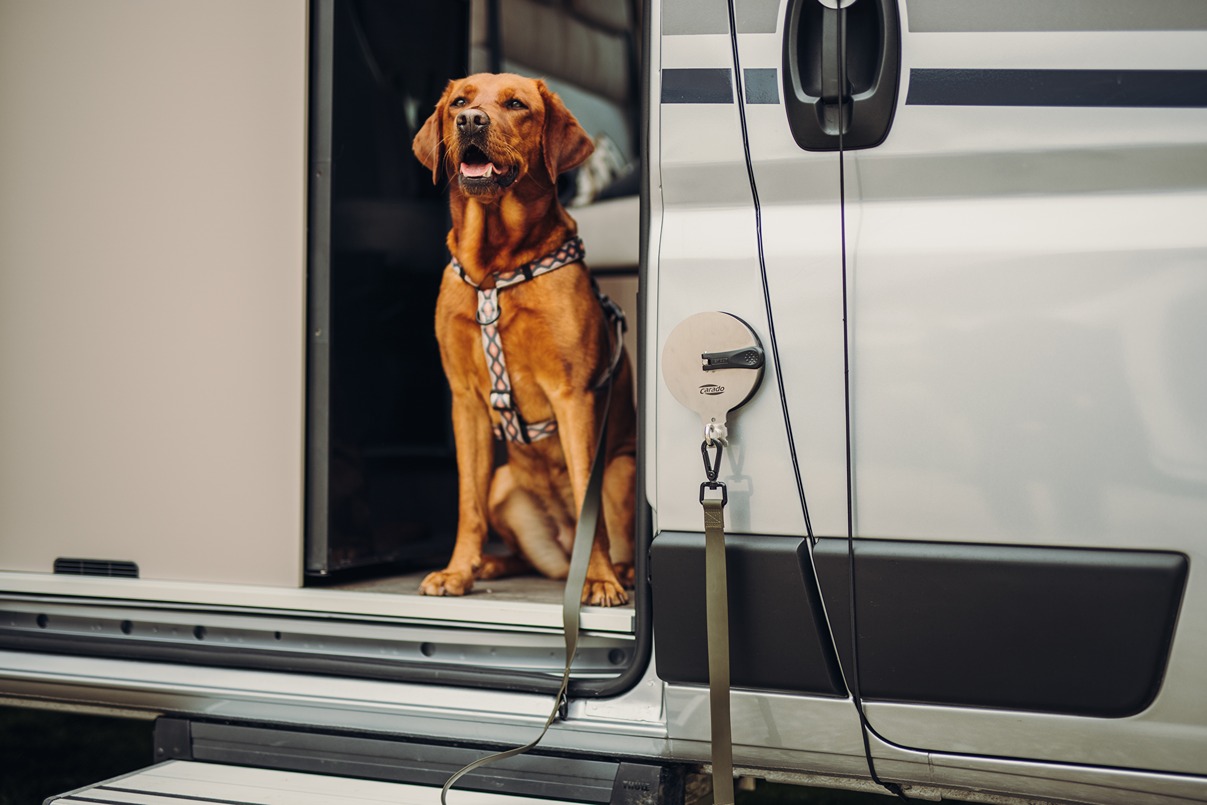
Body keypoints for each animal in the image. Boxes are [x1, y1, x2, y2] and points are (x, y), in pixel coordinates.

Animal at [412, 73, 642, 603]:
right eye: (459, 101)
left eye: (516, 105)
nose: (470, 120)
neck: (496, 268)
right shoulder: (465, 401)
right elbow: (467, 503)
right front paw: (458, 571)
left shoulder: (573, 397)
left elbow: (590, 508)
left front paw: (599, 578)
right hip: (504, 484)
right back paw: (492, 564)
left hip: (623, 470)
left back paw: (620, 572)